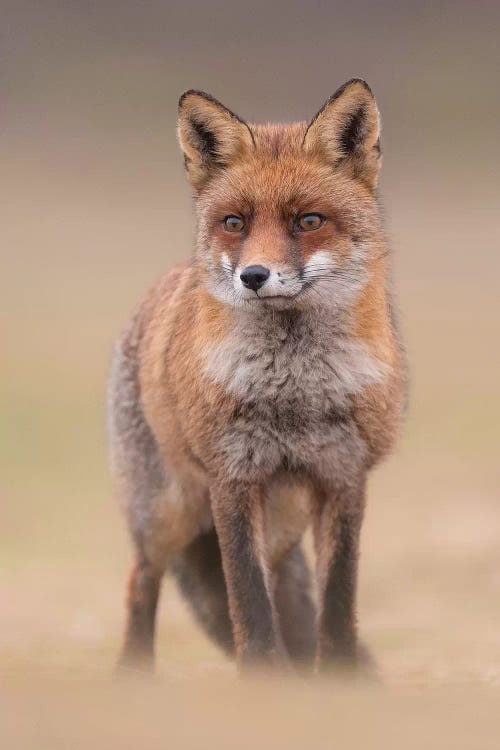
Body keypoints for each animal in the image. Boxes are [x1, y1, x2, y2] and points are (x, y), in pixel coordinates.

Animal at [108, 79, 406, 672]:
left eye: (308, 221)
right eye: (235, 223)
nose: (253, 276)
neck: (294, 392)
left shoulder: (344, 478)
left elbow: (336, 601)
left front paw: (337, 678)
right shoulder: (233, 478)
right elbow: (247, 597)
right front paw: (264, 678)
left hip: (282, 521)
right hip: (168, 511)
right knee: (141, 580)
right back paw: (135, 677)